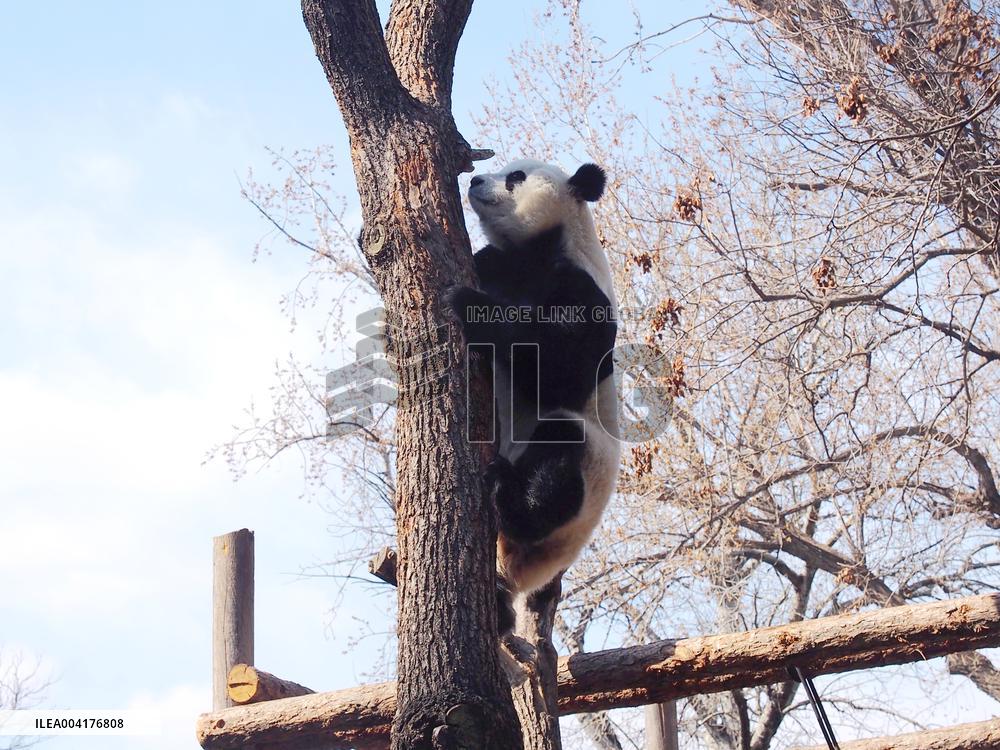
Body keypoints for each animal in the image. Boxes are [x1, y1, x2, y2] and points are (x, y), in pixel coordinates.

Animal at [446, 159, 621, 633]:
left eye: (516, 177)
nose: (474, 180)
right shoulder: (497, 263)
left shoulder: (580, 286)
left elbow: (563, 371)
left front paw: (467, 303)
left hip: (584, 489)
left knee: (560, 458)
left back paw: (508, 496)